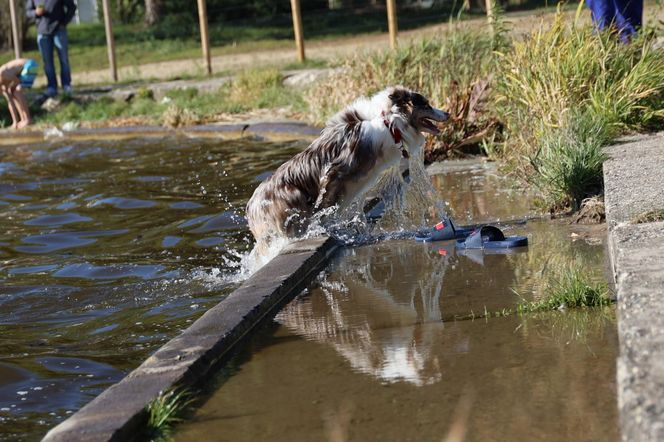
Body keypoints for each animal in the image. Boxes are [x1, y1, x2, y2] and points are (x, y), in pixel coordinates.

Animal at [246, 85, 448, 256]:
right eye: (427, 104)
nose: (447, 113)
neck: (390, 124)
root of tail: (252, 206)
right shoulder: (337, 172)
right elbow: (325, 205)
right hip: (292, 203)